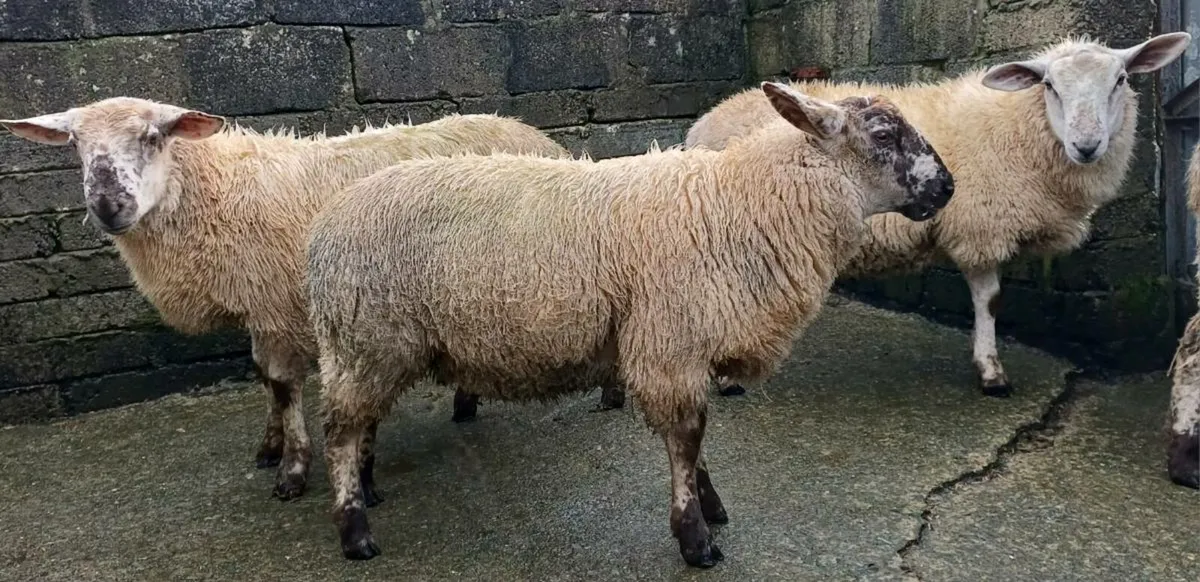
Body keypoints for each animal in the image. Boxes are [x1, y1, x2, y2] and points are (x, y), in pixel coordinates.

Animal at [0, 99, 570, 501]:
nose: (107, 205)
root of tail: (530, 130)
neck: (216, 190)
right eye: (74, 143)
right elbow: (262, 377)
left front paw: (293, 470)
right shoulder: (260, 305)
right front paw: (270, 447)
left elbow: (281, 382)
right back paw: (465, 400)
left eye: (151, 136)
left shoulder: (276, 302)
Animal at [304, 82, 955, 565]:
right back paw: (354, 531)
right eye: (883, 134)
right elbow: (688, 437)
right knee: (339, 432)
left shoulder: (678, 346)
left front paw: (709, 507)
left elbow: (693, 440)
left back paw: (368, 488)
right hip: (367, 339)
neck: (742, 205)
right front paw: (696, 538)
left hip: (370, 346)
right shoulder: (671, 342)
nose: (947, 187)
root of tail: (325, 227)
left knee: (362, 422)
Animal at [680, 32, 1193, 399]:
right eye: (1049, 85)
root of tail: (703, 121)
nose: (1087, 145)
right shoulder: (980, 227)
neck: (1019, 129)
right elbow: (990, 301)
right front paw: (991, 372)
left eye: (1121, 80)